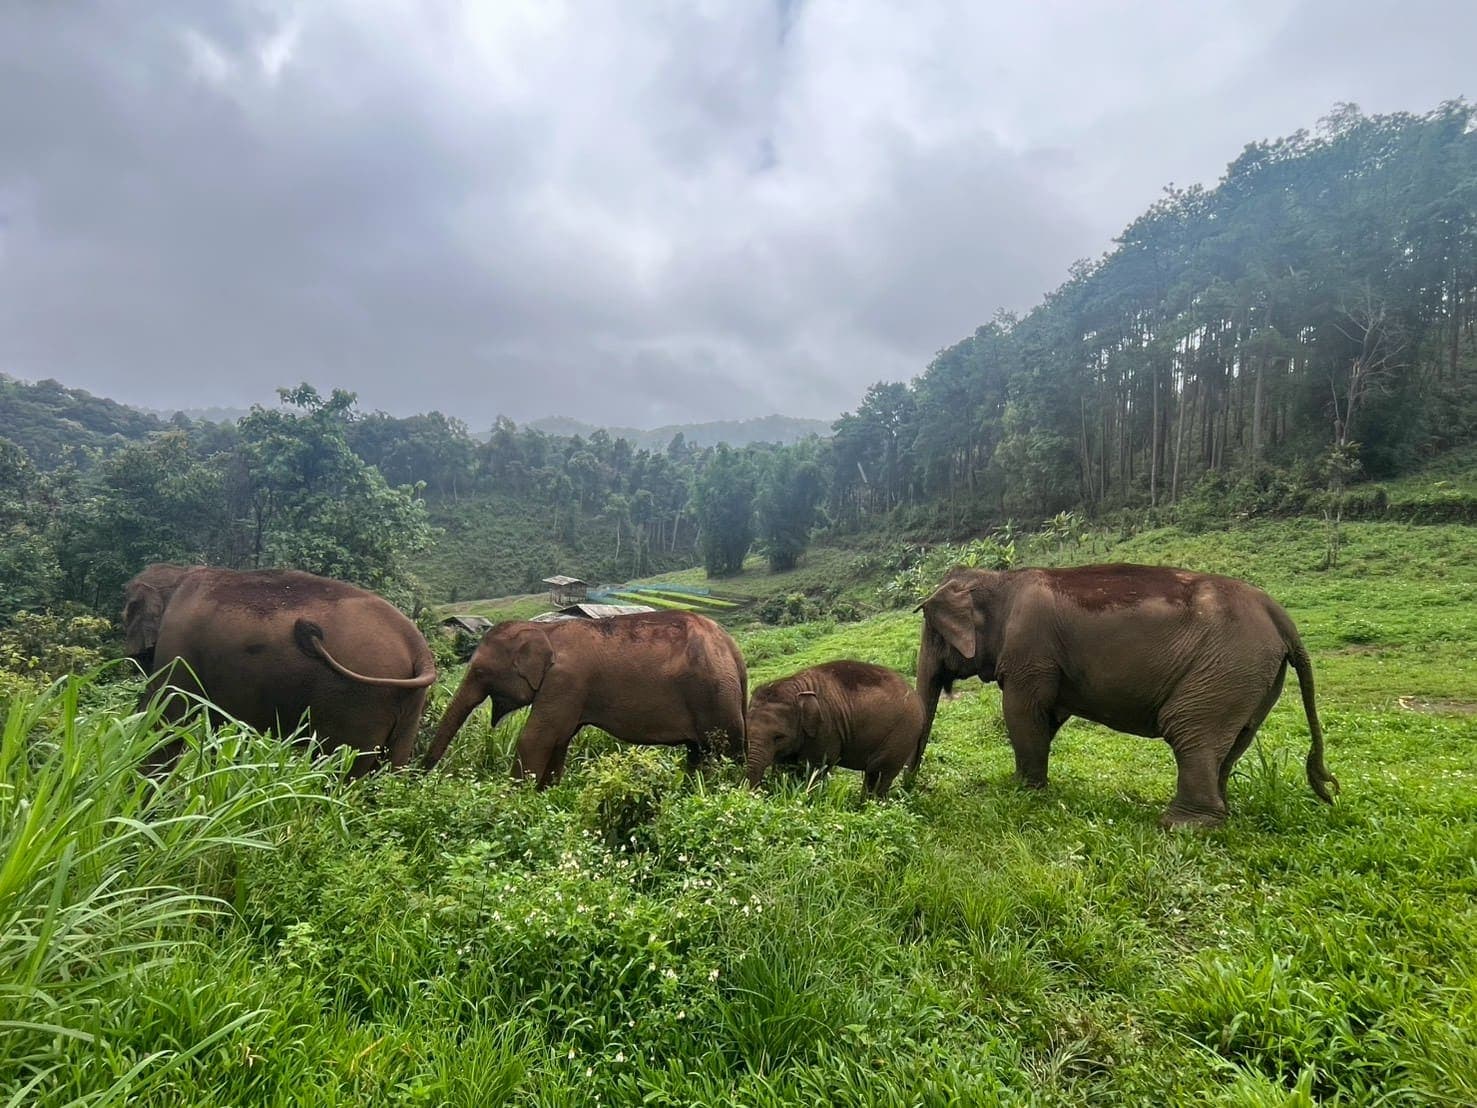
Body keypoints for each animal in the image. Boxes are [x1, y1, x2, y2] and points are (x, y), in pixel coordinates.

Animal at [123, 564, 437, 775]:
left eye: (127, 612)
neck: (180, 573)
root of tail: (418, 646)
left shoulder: (177, 647)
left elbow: (167, 724)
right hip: (407, 706)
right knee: (390, 767)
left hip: (359, 704)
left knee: (340, 769)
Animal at [425, 610, 747, 787]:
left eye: (479, 671)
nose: (419, 776)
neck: (545, 630)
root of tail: (731, 647)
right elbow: (559, 741)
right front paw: (545, 796)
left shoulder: (566, 682)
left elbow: (536, 738)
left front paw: (512, 802)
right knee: (698, 754)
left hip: (715, 696)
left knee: (724, 751)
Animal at [745, 660, 925, 799]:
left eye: (779, 737)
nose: (755, 794)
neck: (796, 686)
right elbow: (785, 766)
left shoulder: (826, 730)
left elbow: (815, 767)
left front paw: (808, 796)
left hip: (903, 734)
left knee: (881, 772)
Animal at [915, 563, 1339, 828]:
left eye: (933, 633)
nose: (912, 789)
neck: (999, 579)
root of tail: (1280, 616)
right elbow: (1046, 719)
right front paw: (1025, 783)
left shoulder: (1029, 652)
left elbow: (1023, 713)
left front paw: (1021, 790)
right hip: (1253, 678)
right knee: (1233, 743)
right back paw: (1218, 812)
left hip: (1226, 667)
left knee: (1190, 733)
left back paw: (1180, 825)